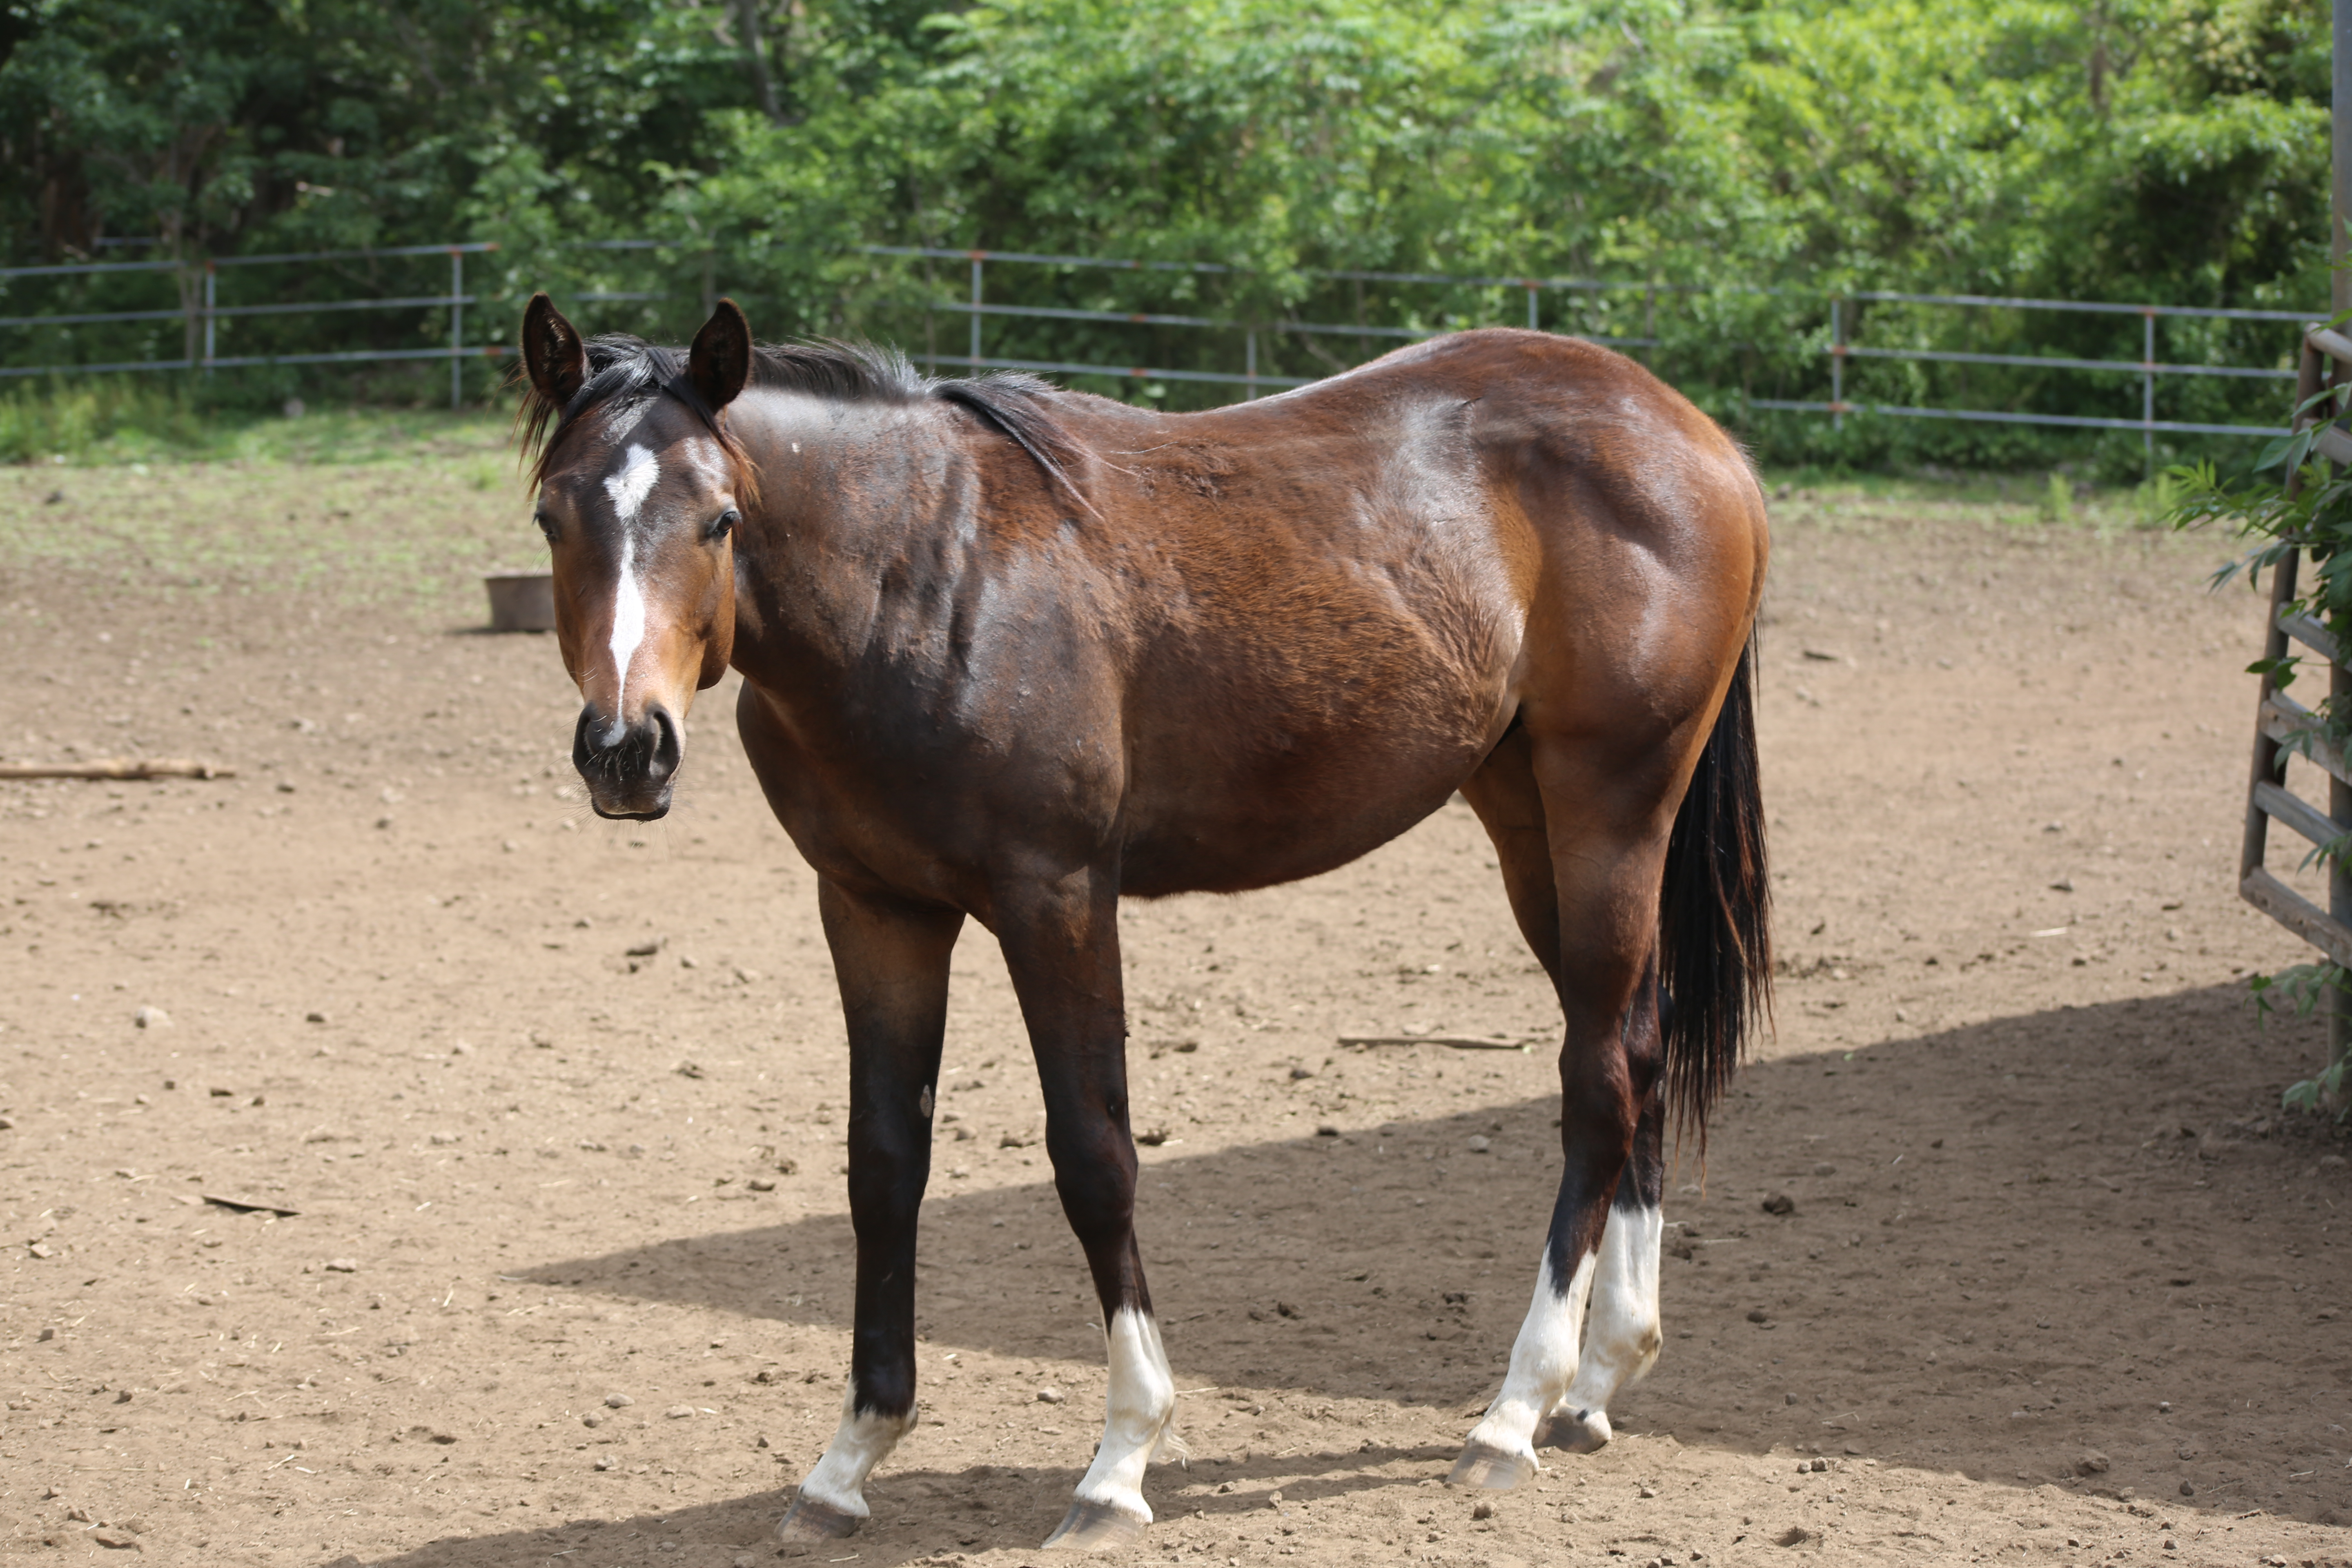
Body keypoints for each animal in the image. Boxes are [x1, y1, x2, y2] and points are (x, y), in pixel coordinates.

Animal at [515, 297, 1768, 1561]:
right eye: (551, 516)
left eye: (719, 517)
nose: (627, 748)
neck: (922, 579)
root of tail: (1690, 434)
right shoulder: (876, 908)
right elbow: (884, 1165)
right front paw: (848, 1460)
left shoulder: (1057, 897)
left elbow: (1094, 1156)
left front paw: (1121, 1457)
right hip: (1527, 820)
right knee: (1640, 1049)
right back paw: (1598, 1380)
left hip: (1610, 812)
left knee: (1597, 1080)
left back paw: (1515, 1408)